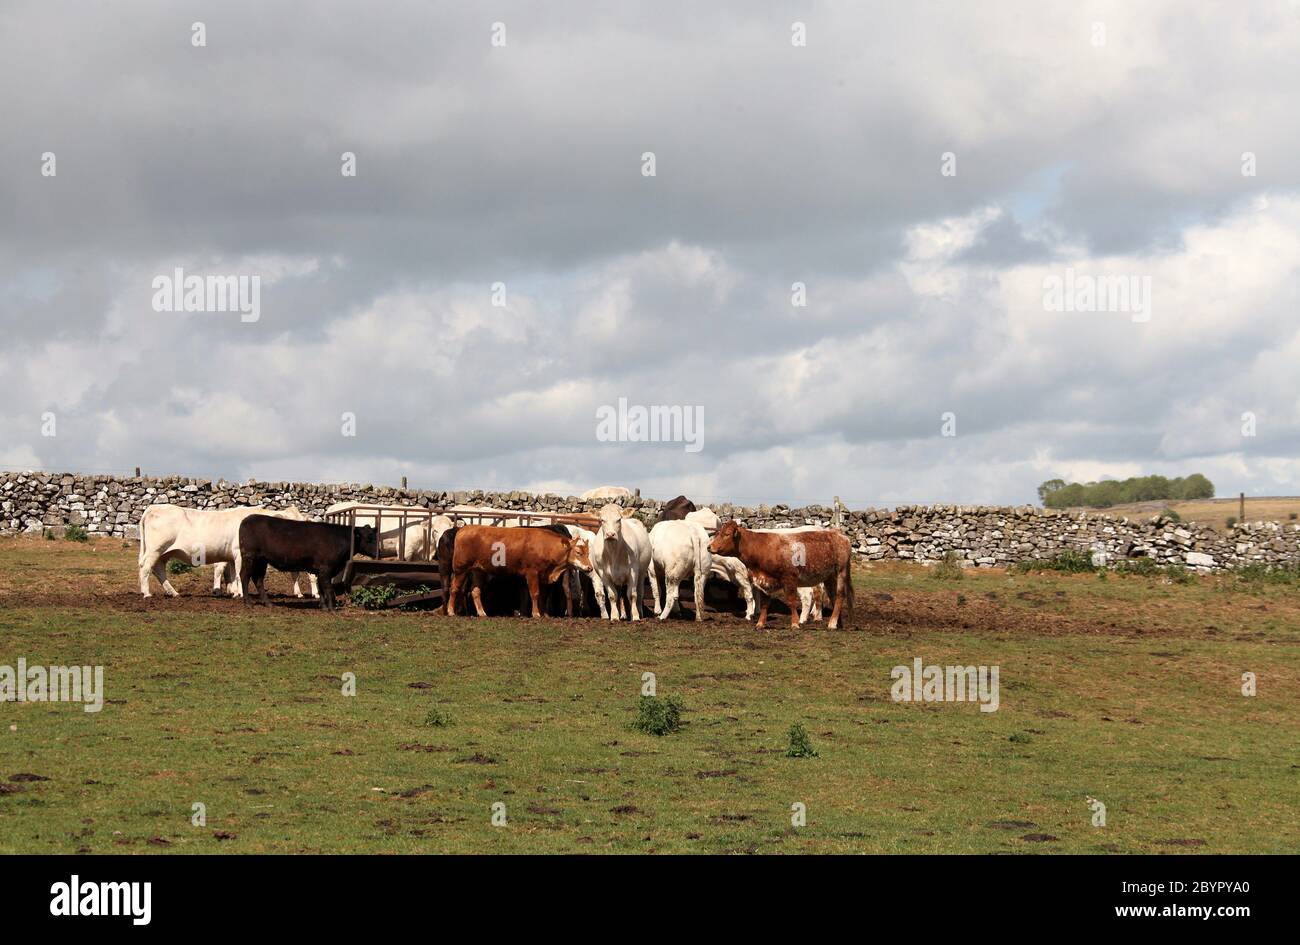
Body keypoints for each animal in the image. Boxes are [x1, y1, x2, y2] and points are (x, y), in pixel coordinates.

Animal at [237, 514, 377, 610]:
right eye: (369, 538)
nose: (378, 552)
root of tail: (247, 519)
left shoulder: (320, 570)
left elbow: (321, 589)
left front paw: (323, 607)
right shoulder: (326, 569)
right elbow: (328, 588)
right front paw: (332, 609)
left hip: (261, 561)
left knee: (258, 579)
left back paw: (268, 603)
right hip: (249, 557)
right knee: (244, 576)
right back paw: (248, 602)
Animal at [444, 525, 592, 621]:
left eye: (588, 553)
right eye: (578, 552)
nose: (590, 568)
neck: (546, 546)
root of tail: (463, 529)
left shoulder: (544, 575)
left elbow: (543, 596)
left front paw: (545, 614)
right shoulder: (532, 573)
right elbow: (535, 593)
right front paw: (536, 614)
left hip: (478, 571)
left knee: (475, 591)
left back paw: (482, 613)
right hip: (460, 569)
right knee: (454, 588)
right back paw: (450, 611)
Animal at [712, 519, 852, 631]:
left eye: (726, 534)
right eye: (719, 533)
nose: (709, 547)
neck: (762, 548)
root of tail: (839, 534)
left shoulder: (788, 578)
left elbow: (791, 601)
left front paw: (795, 623)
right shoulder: (763, 580)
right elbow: (764, 603)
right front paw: (760, 624)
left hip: (841, 572)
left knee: (838, 596)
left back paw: (831, 623)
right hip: (829, 576)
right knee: (832, 597)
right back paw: (838, 623)